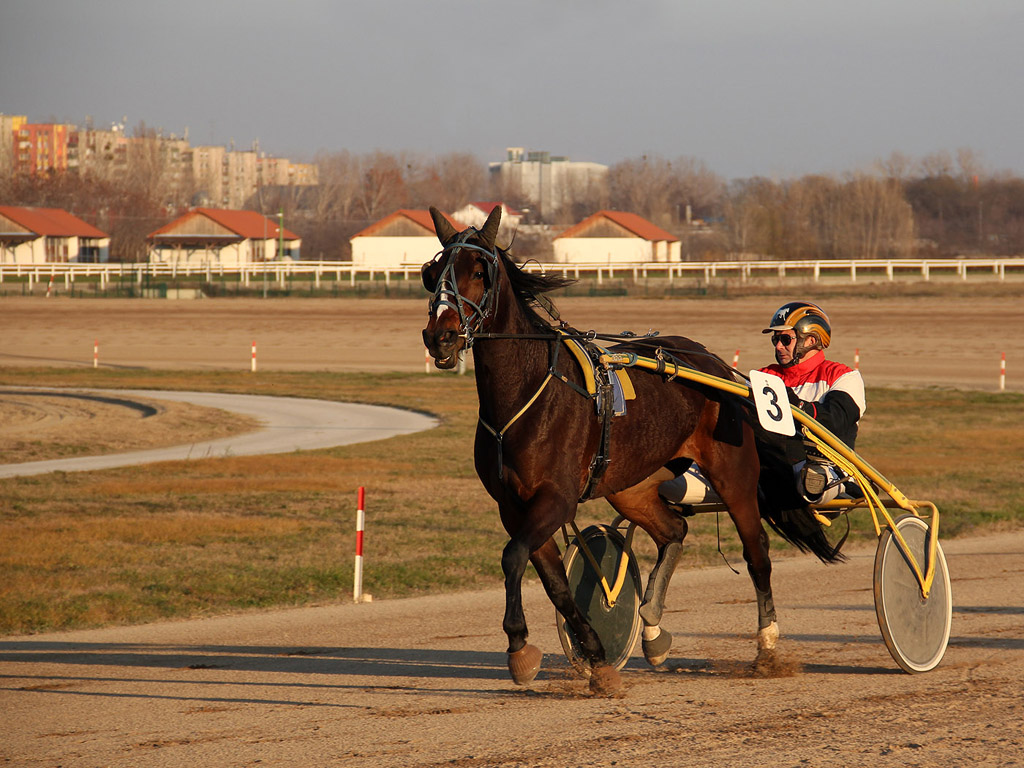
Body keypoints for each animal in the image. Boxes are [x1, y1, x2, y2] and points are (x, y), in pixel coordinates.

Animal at [417, 205, 839, 696]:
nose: (440, 338)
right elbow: (554, 581)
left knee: (757, 553)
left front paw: (519, 646)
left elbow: (513, 557)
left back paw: (767, 646)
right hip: (631, 487)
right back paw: (652, 629)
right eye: (431, 275)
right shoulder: (513, 505)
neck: (524, 394)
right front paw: (595, 655)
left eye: (479, 272)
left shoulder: (554, 498)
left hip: (733, 475)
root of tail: (715, 365)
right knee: (674, 530)